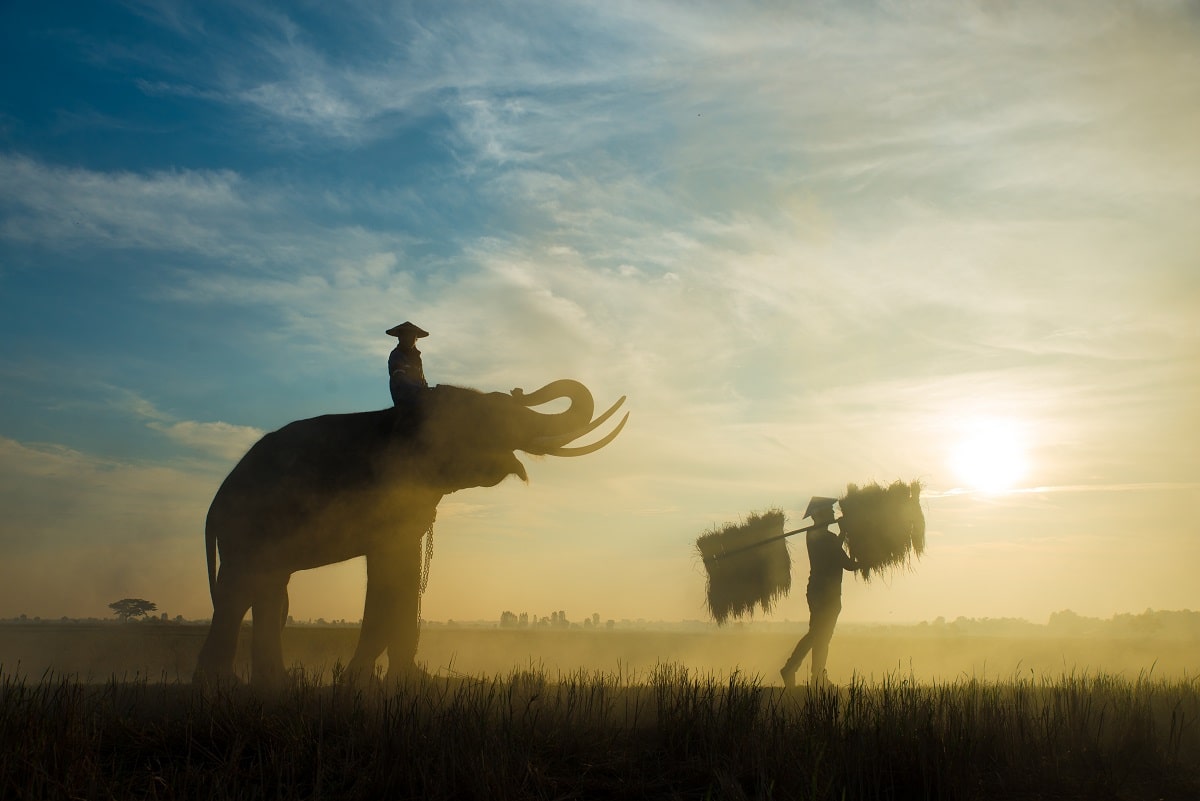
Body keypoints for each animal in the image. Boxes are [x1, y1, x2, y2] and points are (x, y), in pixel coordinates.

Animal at [194, 378, 628, 685]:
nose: (519, 389)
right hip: (248, 528)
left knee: (269, 590)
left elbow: (403, 570)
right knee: (241, 590)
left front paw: (407, 679)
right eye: (488, 414)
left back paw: (273, 684)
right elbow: (389, 570)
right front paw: (358, 681)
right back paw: (221, 685)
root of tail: (215, 502)